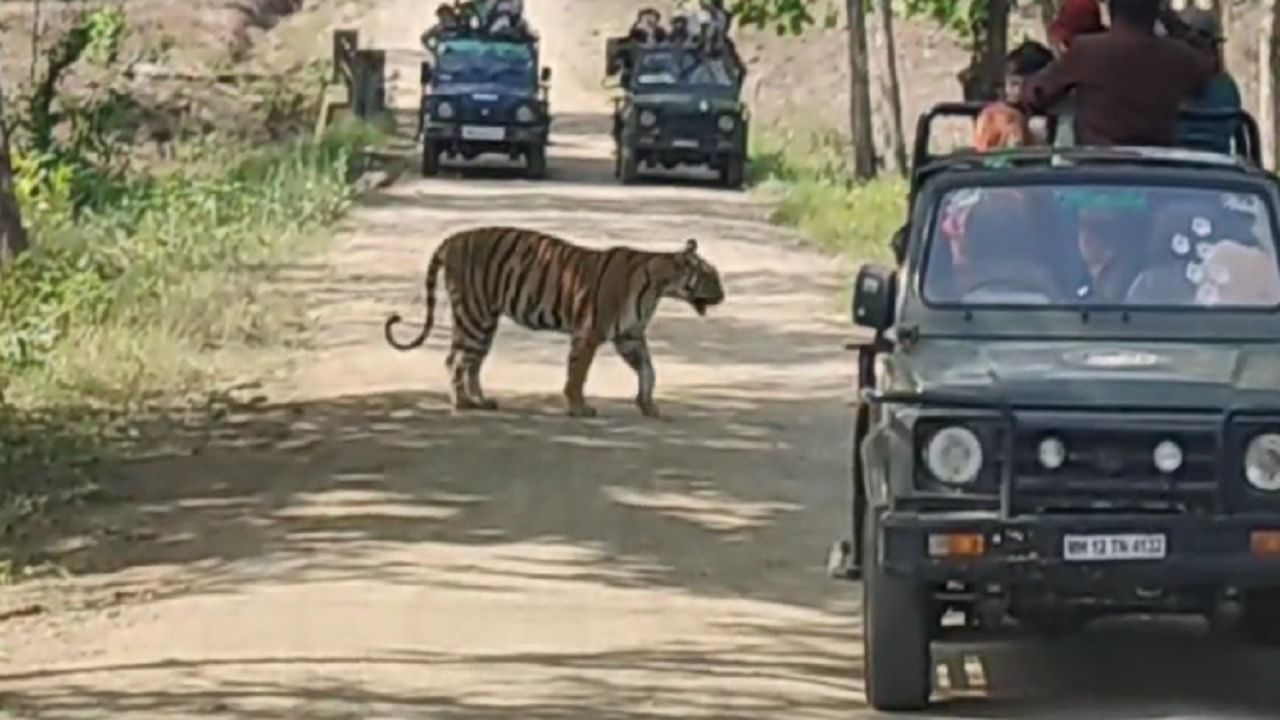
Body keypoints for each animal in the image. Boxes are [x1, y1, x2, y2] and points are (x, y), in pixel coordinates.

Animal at [378, 224, 727, 415]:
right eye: (711, 277)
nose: (723, 296)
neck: (660, 285)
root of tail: (452, 239)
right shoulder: (589, 332)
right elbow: (578, 374)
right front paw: (579, 408)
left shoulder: (629, 337)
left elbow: (648, 371)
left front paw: (649, 407)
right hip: (474, 315)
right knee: (456, 359)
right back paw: (462, 402)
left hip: (484, 320)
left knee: (471, 361)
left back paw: (481, 401)